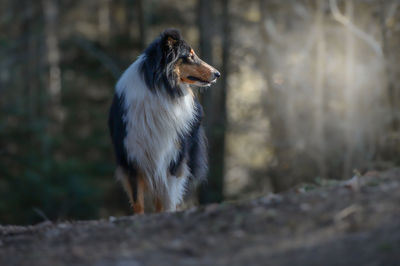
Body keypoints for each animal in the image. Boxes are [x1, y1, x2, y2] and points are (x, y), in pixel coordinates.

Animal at [108, 28, 220, 213]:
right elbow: (138, 200)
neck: (161, 89)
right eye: (190, 56)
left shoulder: (173, 158)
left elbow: (167, 197)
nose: (217, 73)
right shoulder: (131, 157)